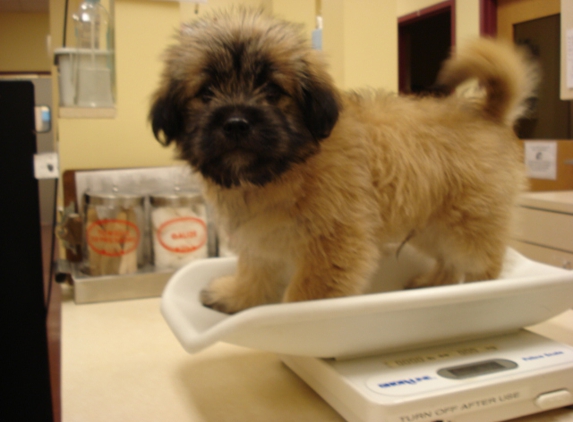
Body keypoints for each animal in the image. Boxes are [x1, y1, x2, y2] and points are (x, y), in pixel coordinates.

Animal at [149, 9, 536, 314]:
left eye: (272, 91)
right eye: (206, 92)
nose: (236, 122)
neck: (284, 170)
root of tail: (487, 113)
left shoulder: (334, 245)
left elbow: (304, 296)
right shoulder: (263, 240)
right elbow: (254, 270)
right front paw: (237, 295)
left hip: (469, 224)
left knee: (483, 261)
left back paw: (481, 290)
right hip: (430, 225)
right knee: (448, 260)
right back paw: (434, 283)